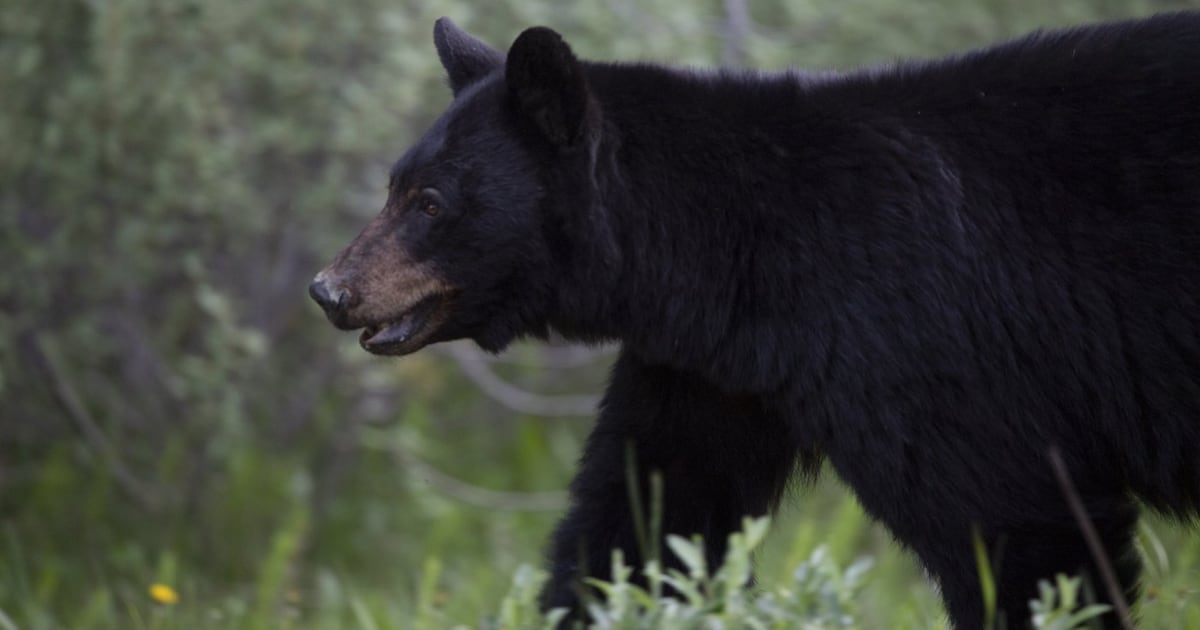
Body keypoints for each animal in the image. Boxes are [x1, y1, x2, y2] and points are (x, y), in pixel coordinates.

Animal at [310, 13, 1200, 629]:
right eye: (395, 185)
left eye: (430, 204)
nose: (329, 289)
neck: (738, 256)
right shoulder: (712, 372)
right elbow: (646, 521)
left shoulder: (920, 335)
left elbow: (1015, 522)